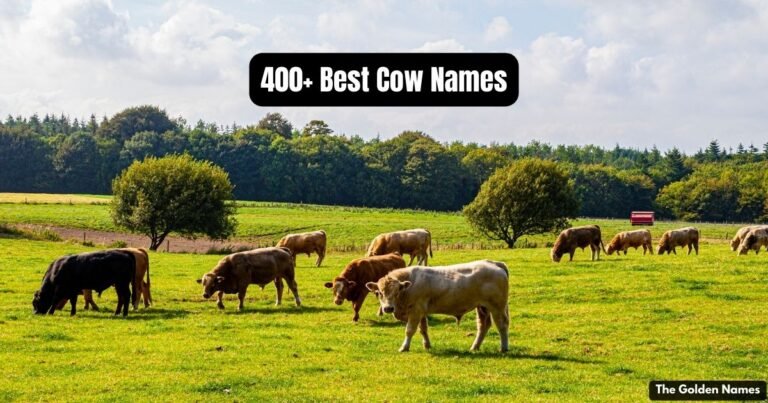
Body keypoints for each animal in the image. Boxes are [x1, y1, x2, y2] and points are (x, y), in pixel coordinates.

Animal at [366, 260, 509, 353]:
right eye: (379, 293)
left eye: (397, 292)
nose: (388, 308)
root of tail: (493, 263)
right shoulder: (421, 313)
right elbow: (423, 329)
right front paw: (427, 345)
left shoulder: (416, 311)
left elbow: (410, 330)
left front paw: (404, 347)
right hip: (482, 307)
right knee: (483, 326)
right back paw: (475, 347)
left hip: (497, 307)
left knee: (502, 325)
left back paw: (503, 348)